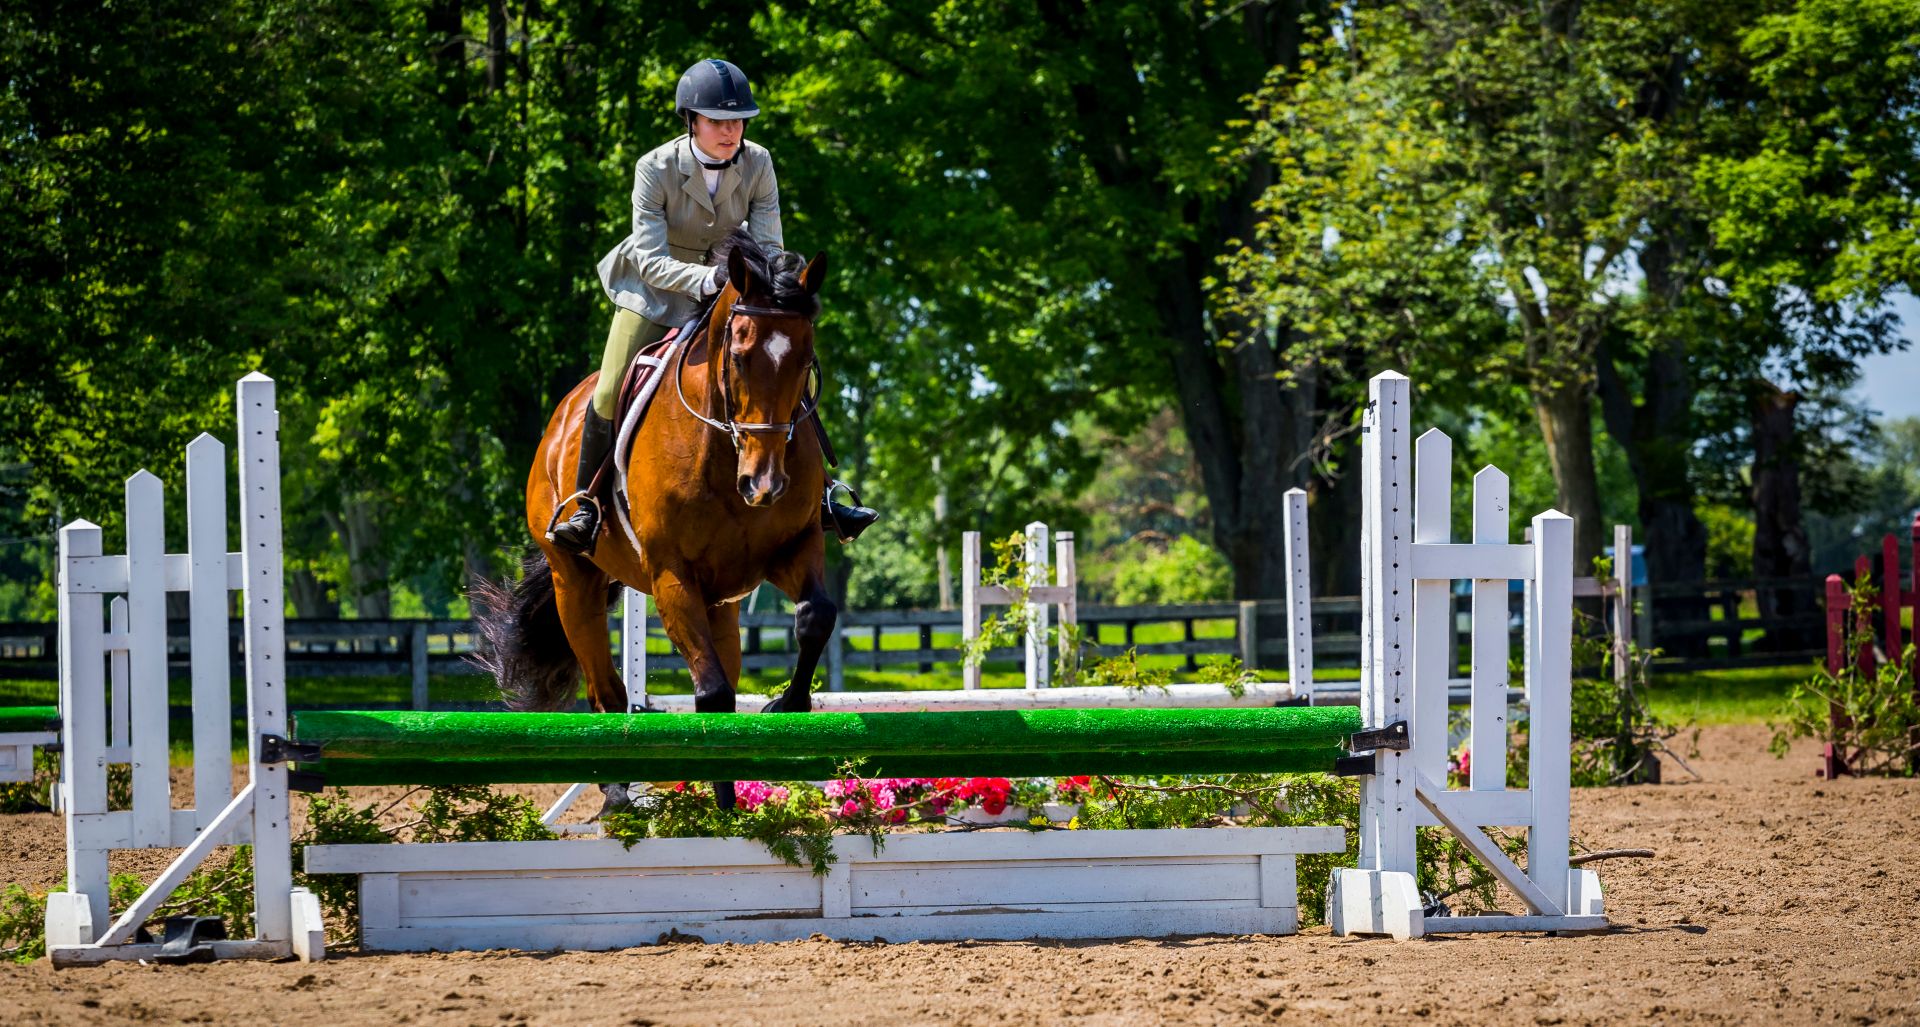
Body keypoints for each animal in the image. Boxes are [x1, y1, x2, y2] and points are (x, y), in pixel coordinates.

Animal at [473, 229, 836, 811]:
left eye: (806, 360)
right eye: (739, 355)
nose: (764, 485)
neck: (725, 452)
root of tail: (560, 418)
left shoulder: (791, 549)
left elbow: (815, 617)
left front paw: (786, 708)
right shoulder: (671, 575)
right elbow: (712, 692)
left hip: (721, 600)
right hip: (574, 581)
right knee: (605, 690)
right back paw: (619, 794)